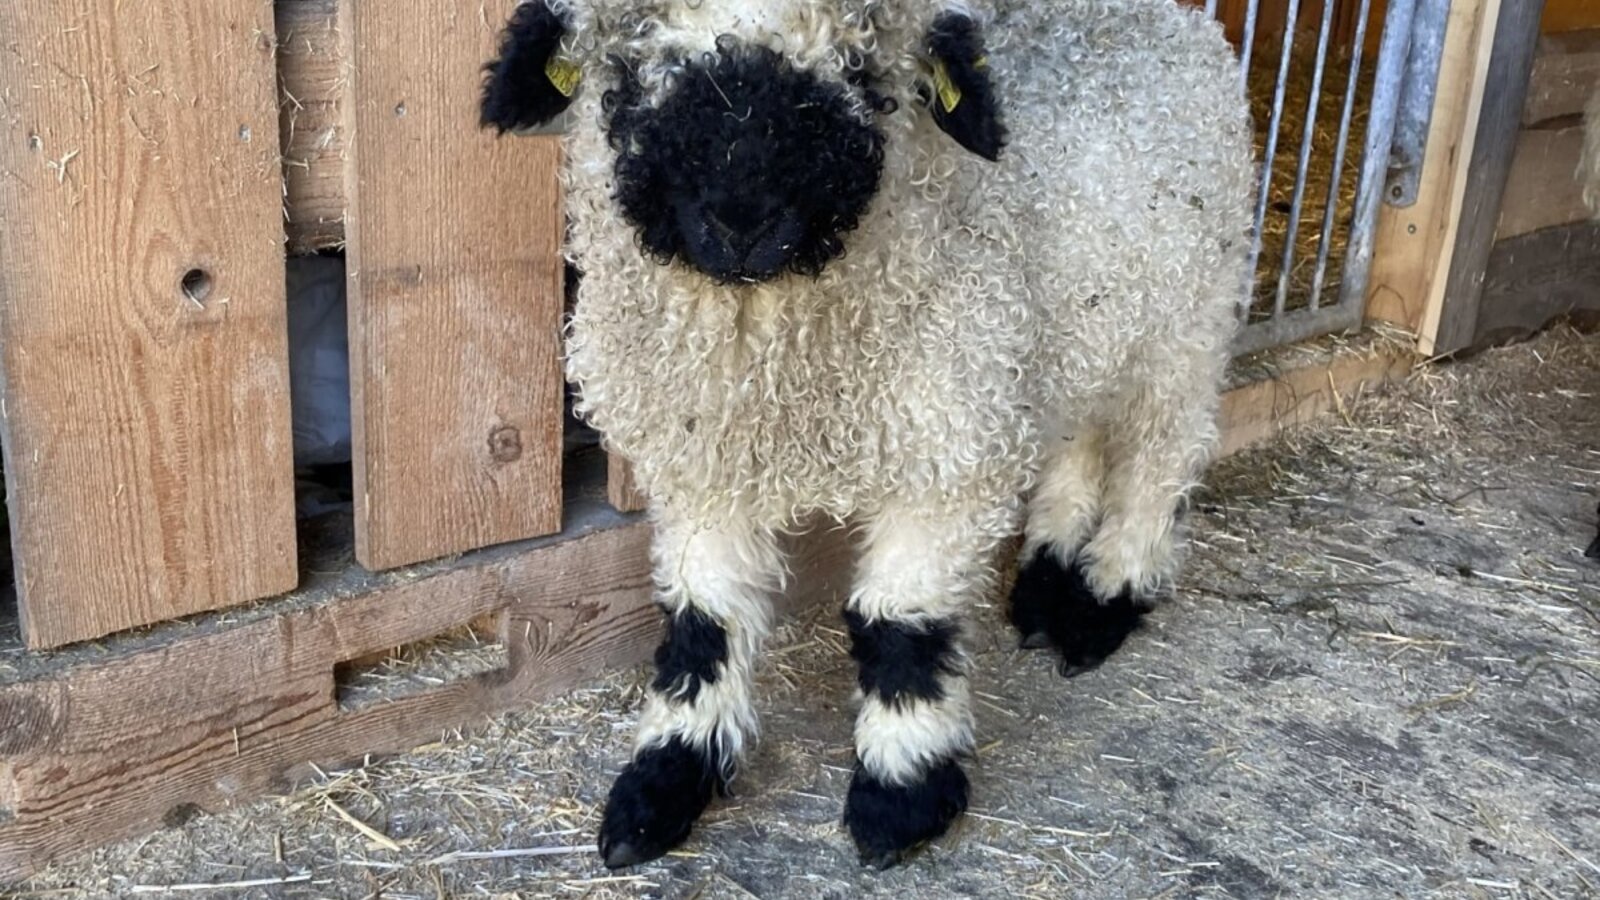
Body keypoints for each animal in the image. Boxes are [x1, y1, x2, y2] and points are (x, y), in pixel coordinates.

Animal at [482, 0, 1256, 869]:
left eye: (861, 74)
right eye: (623, 75)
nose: (742, 221)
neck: (780, 370)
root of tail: (1179, 18)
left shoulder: (946, 454)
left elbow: (900, 631)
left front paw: (900, 795)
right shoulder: (702, 459)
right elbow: (703, 622)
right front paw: (666, 780)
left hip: (1186, 325)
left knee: (1162, 459)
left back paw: (1103, 600)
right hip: (1078, 337)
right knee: (1079, 445)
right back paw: (1046, 584)